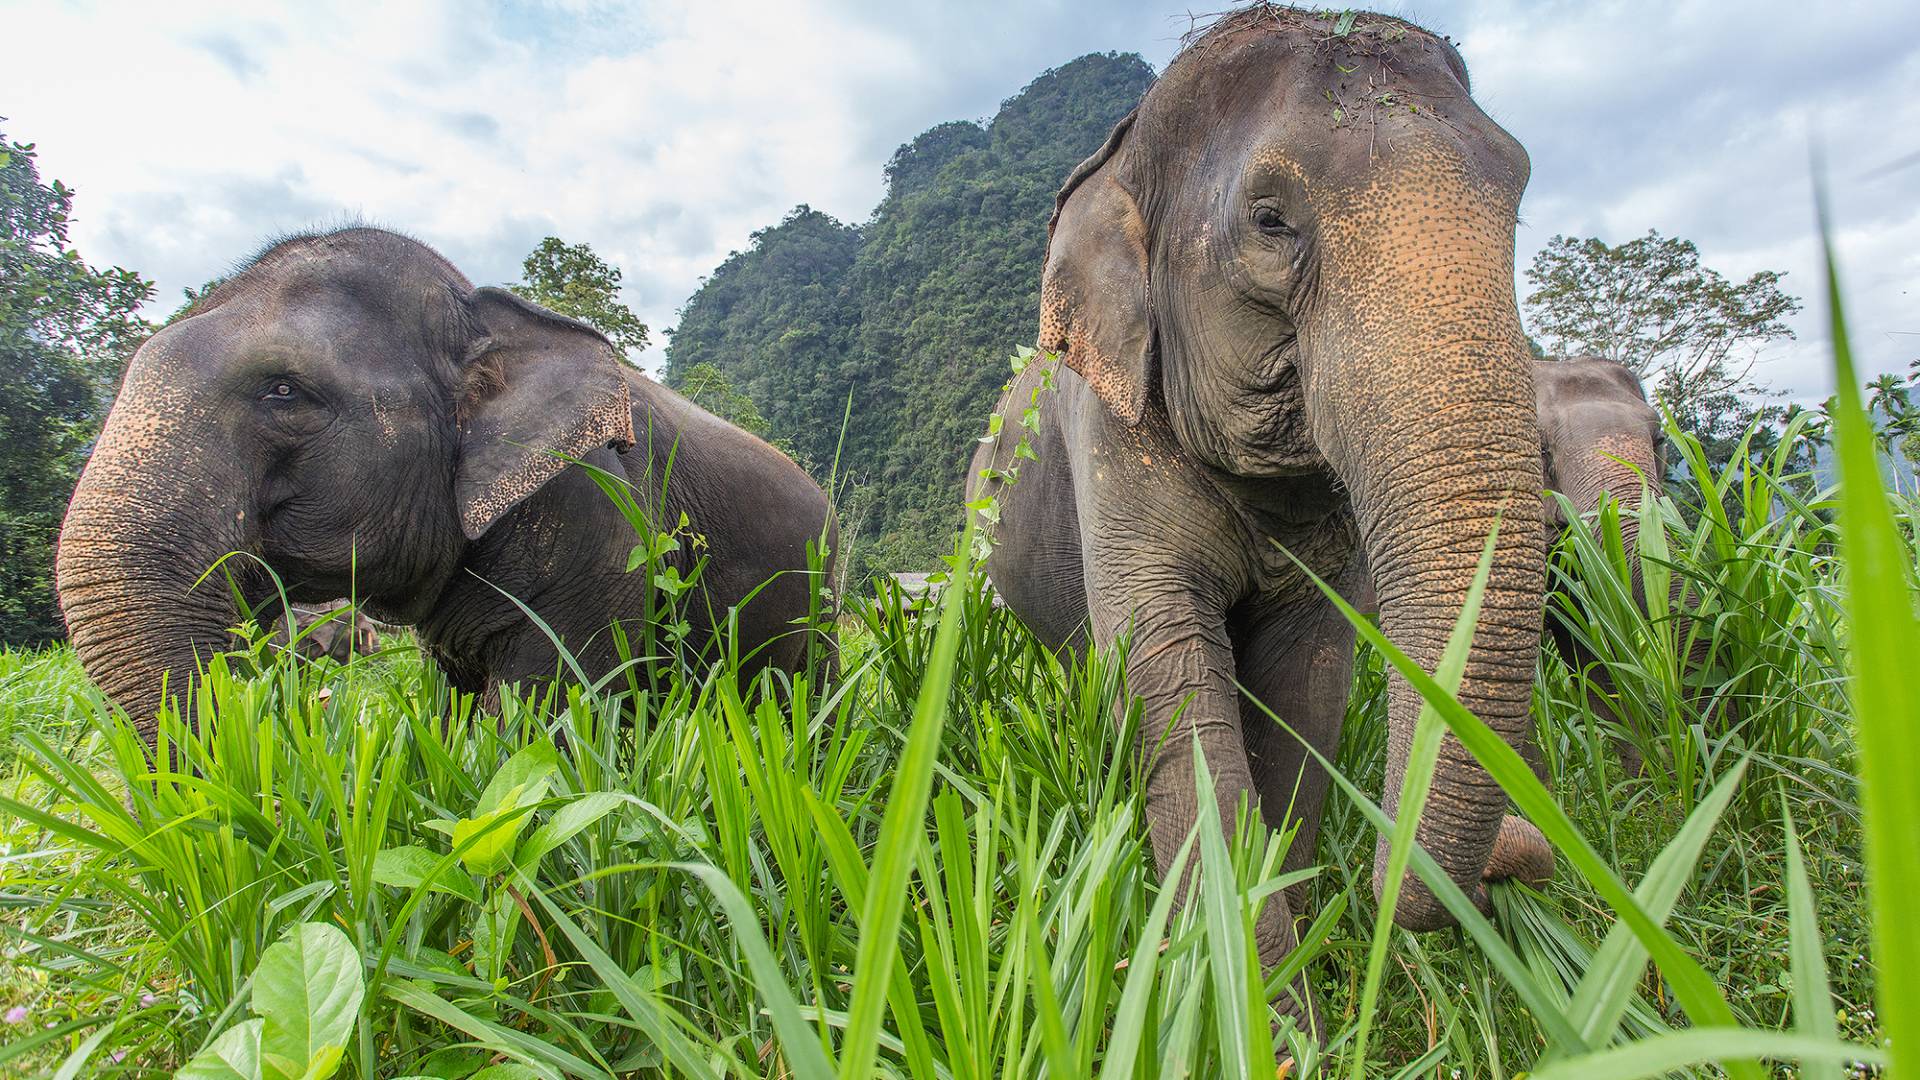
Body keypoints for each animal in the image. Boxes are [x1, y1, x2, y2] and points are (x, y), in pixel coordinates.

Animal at [968, 8, 1553, 1037]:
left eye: (1517, 193)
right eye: (1271, 220)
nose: (1518, 858)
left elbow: (1309, 681)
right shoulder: (1112, 439)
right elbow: (1169, 681)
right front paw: (1265, 1021)